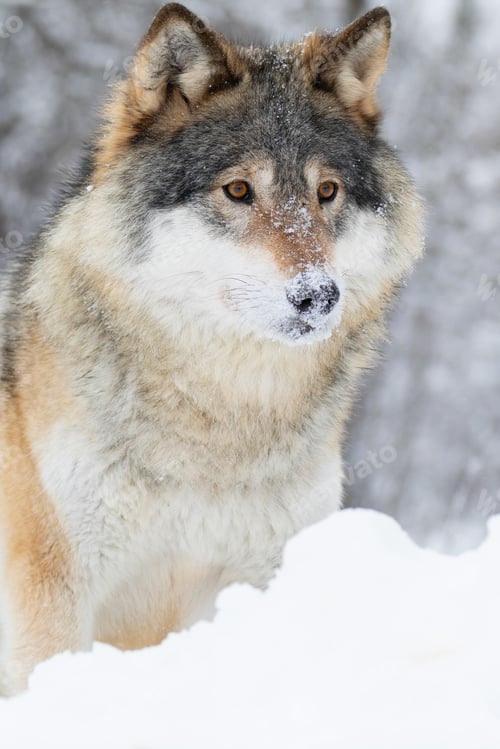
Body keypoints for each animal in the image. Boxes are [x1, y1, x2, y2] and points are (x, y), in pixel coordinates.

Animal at [0, 3, 422, 694]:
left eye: (326, 192)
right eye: (239, 191)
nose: (319, 297)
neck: (219, 433)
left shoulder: (266, 572)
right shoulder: (52, 594)